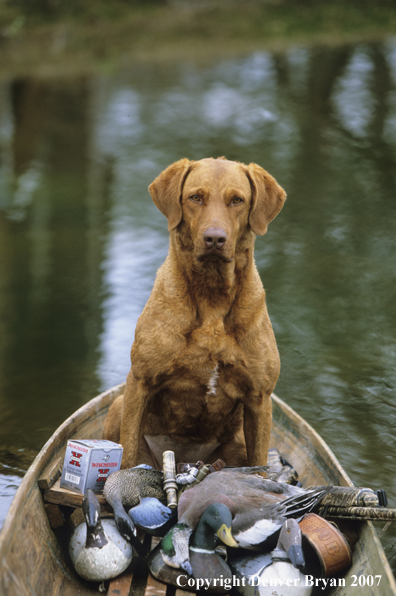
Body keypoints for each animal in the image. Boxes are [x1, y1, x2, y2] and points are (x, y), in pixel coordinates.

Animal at [103, 157, 284, 470]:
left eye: (237, 200)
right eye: (195, 197)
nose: (214, 239)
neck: (212, 297)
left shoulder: (260, 399)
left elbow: (260, 464)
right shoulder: (139, 381)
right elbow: (126, 458)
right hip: (118, 406)